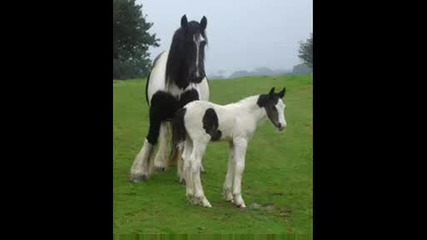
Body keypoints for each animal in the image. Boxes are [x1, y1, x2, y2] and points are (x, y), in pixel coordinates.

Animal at [130, 14, 211, 182]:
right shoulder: (155, 112)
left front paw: (186, 174)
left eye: (203, 43)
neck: (177, 84)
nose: (197, 75)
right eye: (186, 42)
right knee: (165, 134)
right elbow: (152, 136)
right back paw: (160, 162)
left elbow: (183, 143)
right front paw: (139, 172)